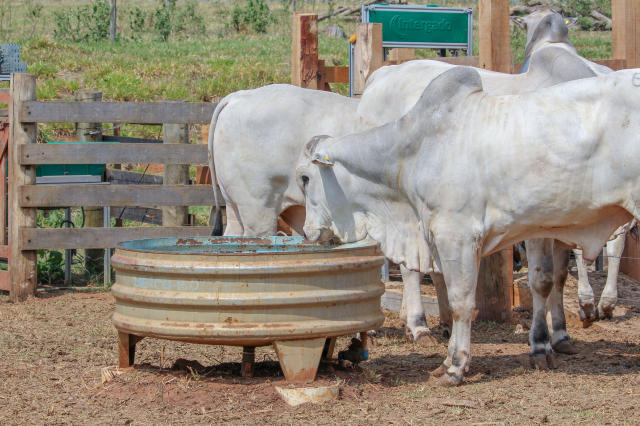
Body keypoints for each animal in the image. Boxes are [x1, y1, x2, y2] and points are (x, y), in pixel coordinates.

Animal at [298, 66, 640, 386]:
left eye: (304, 178)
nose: (308, 231)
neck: (413, 150)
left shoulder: (456, 235)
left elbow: (461, 302)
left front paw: (455, 366)